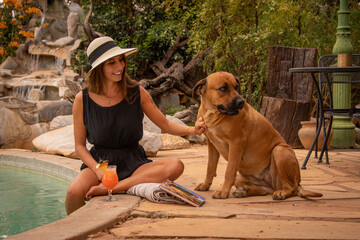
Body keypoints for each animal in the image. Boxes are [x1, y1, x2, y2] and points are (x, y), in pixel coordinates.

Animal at [193, 72, 322, 200]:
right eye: (223, 88)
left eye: (236, 87)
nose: (241, 102)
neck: (212, 113)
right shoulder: (212, 145)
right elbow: (210, 168)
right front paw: (205, 185)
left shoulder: (236, 143)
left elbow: (228, 172)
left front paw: (223, 191)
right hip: (241, 178)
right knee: (265, 191)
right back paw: (244, 191)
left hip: (279, 150)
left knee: (291, 188)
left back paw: (282, 193)